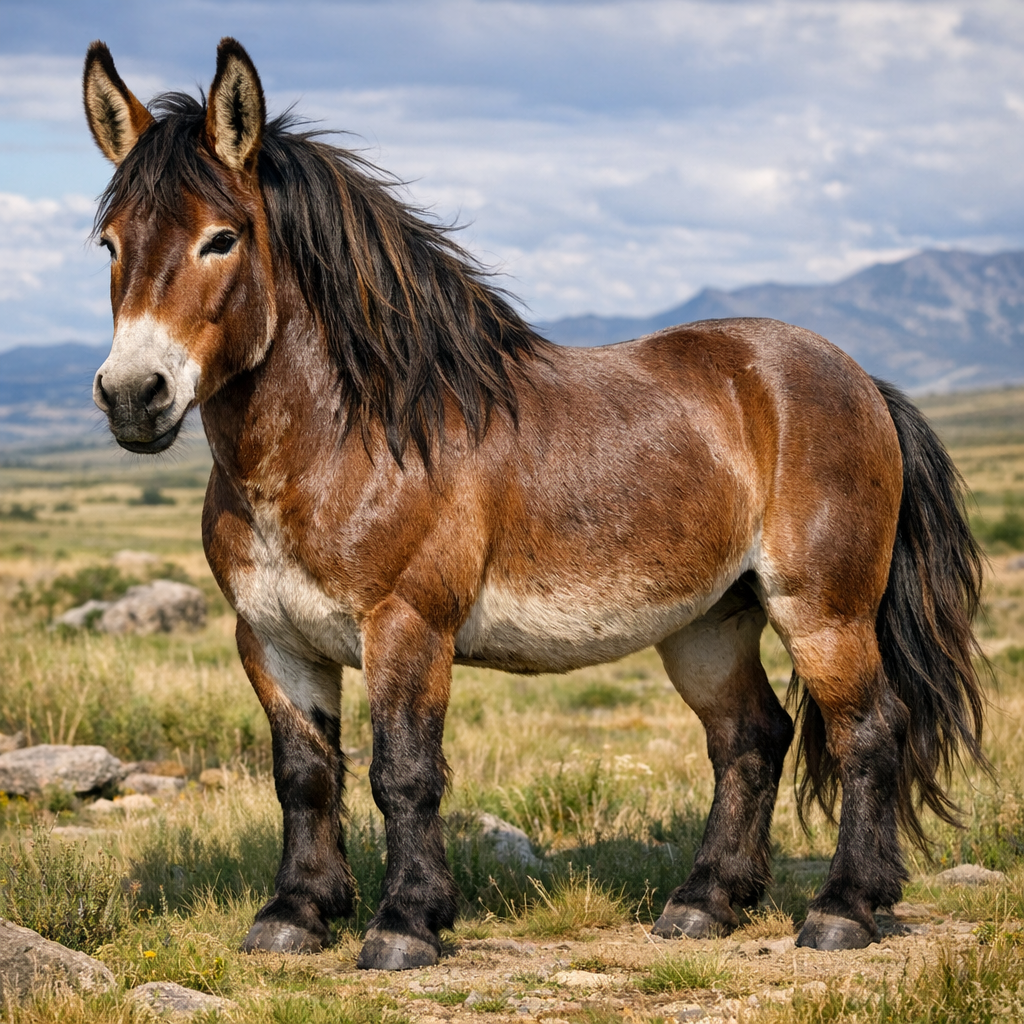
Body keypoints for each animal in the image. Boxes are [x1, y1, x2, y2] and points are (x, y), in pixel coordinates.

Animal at [83, 38, 986, 970]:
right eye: (109, 244)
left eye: (221, 239)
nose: (133, 395)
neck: (341, 442)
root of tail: (858, 377)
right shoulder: (270, 637)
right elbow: (304, 775)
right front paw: (295, 913)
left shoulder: (408, 626)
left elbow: (403, 773)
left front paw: (405, 923)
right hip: (709, 621)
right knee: (751, 739)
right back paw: (703, 903)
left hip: (823, 610)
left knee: (868, 732)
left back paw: (844, 909)